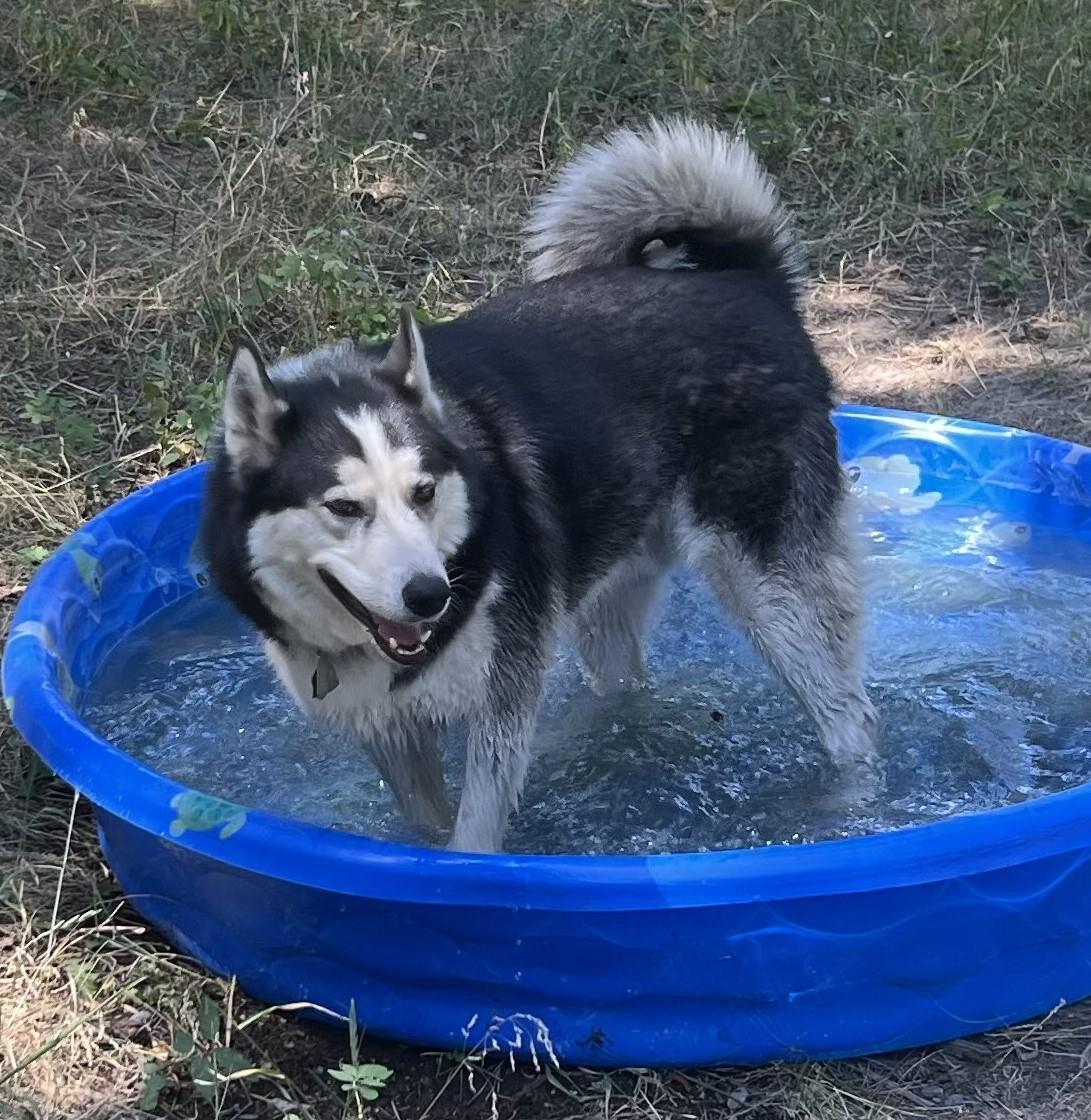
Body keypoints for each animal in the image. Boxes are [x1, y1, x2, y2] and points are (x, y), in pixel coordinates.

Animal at [204, 120, 882, 846]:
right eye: (343, 506)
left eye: (423, 492)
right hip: (609, 594)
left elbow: (473, 835)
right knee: (624, 686)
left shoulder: (501, 704)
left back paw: (851, 807)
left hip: (771, 593)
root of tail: (748, 280)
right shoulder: (391, 733)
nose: (430, 597)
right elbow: (423, 828)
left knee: (849, 718)